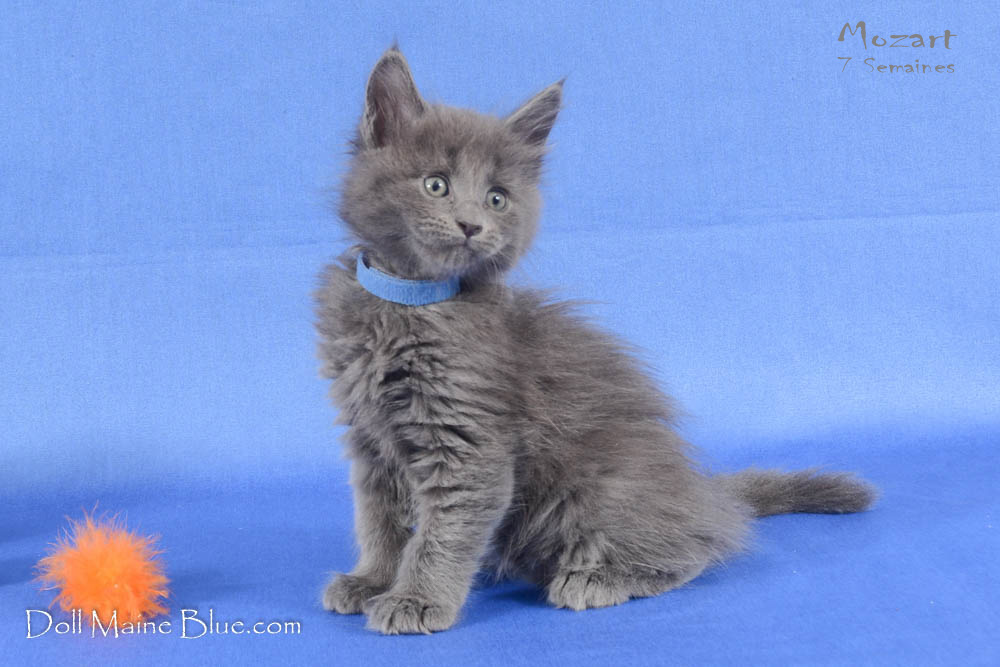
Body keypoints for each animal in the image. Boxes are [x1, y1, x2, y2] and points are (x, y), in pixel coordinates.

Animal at [314, 46, 876, 635]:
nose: (471, 225)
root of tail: (697, 489)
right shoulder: (371, 440)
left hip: (595, 489)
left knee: (697, 546)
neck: (409, 302)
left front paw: (418, 598)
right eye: (436, 185)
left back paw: (599, 578)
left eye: (497, 199)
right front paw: (373, 580)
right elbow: (380, 519)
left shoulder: (468, 443)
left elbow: (443, 532)